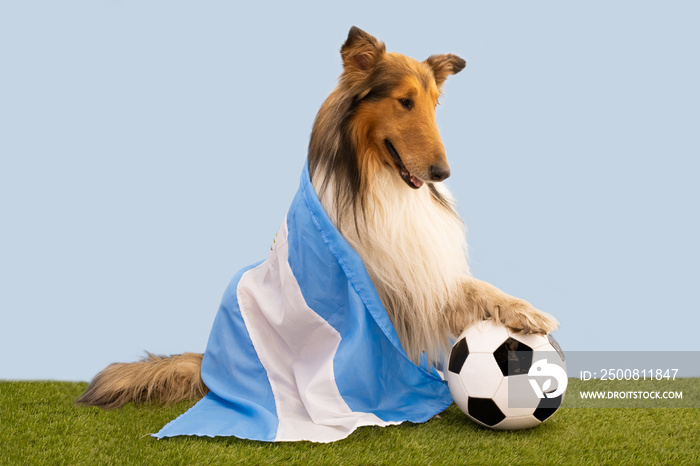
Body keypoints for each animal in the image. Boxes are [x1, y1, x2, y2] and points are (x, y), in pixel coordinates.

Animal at [78, 27, 556, 410]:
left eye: (434, 104)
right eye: (404, 101)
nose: (442, 173)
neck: (376, 184)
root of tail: (210, 364)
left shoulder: (418, 277)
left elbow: (480, 290)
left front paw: (528, 314)